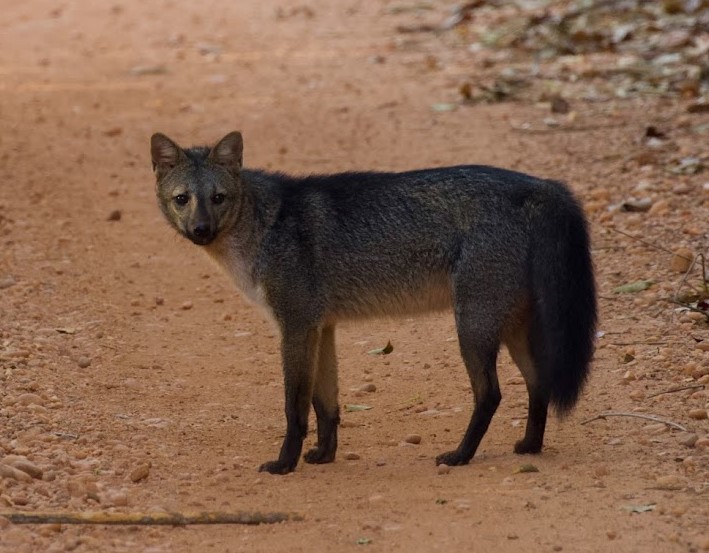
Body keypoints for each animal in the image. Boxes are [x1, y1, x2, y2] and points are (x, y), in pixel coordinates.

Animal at [151, 130, 596, 474]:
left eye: (219, 198)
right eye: (182, 199)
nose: (201, 230)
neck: (265, 224)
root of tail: (539, 183)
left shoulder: (296, 327)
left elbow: (295, 407)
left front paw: (285, 463)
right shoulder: (322, 326)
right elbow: (325, 403)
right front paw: (323, 454)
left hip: (472, 327)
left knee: (491, 394)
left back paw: (460, 455)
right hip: (508, 327)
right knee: (539, 384)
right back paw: (529, 447)